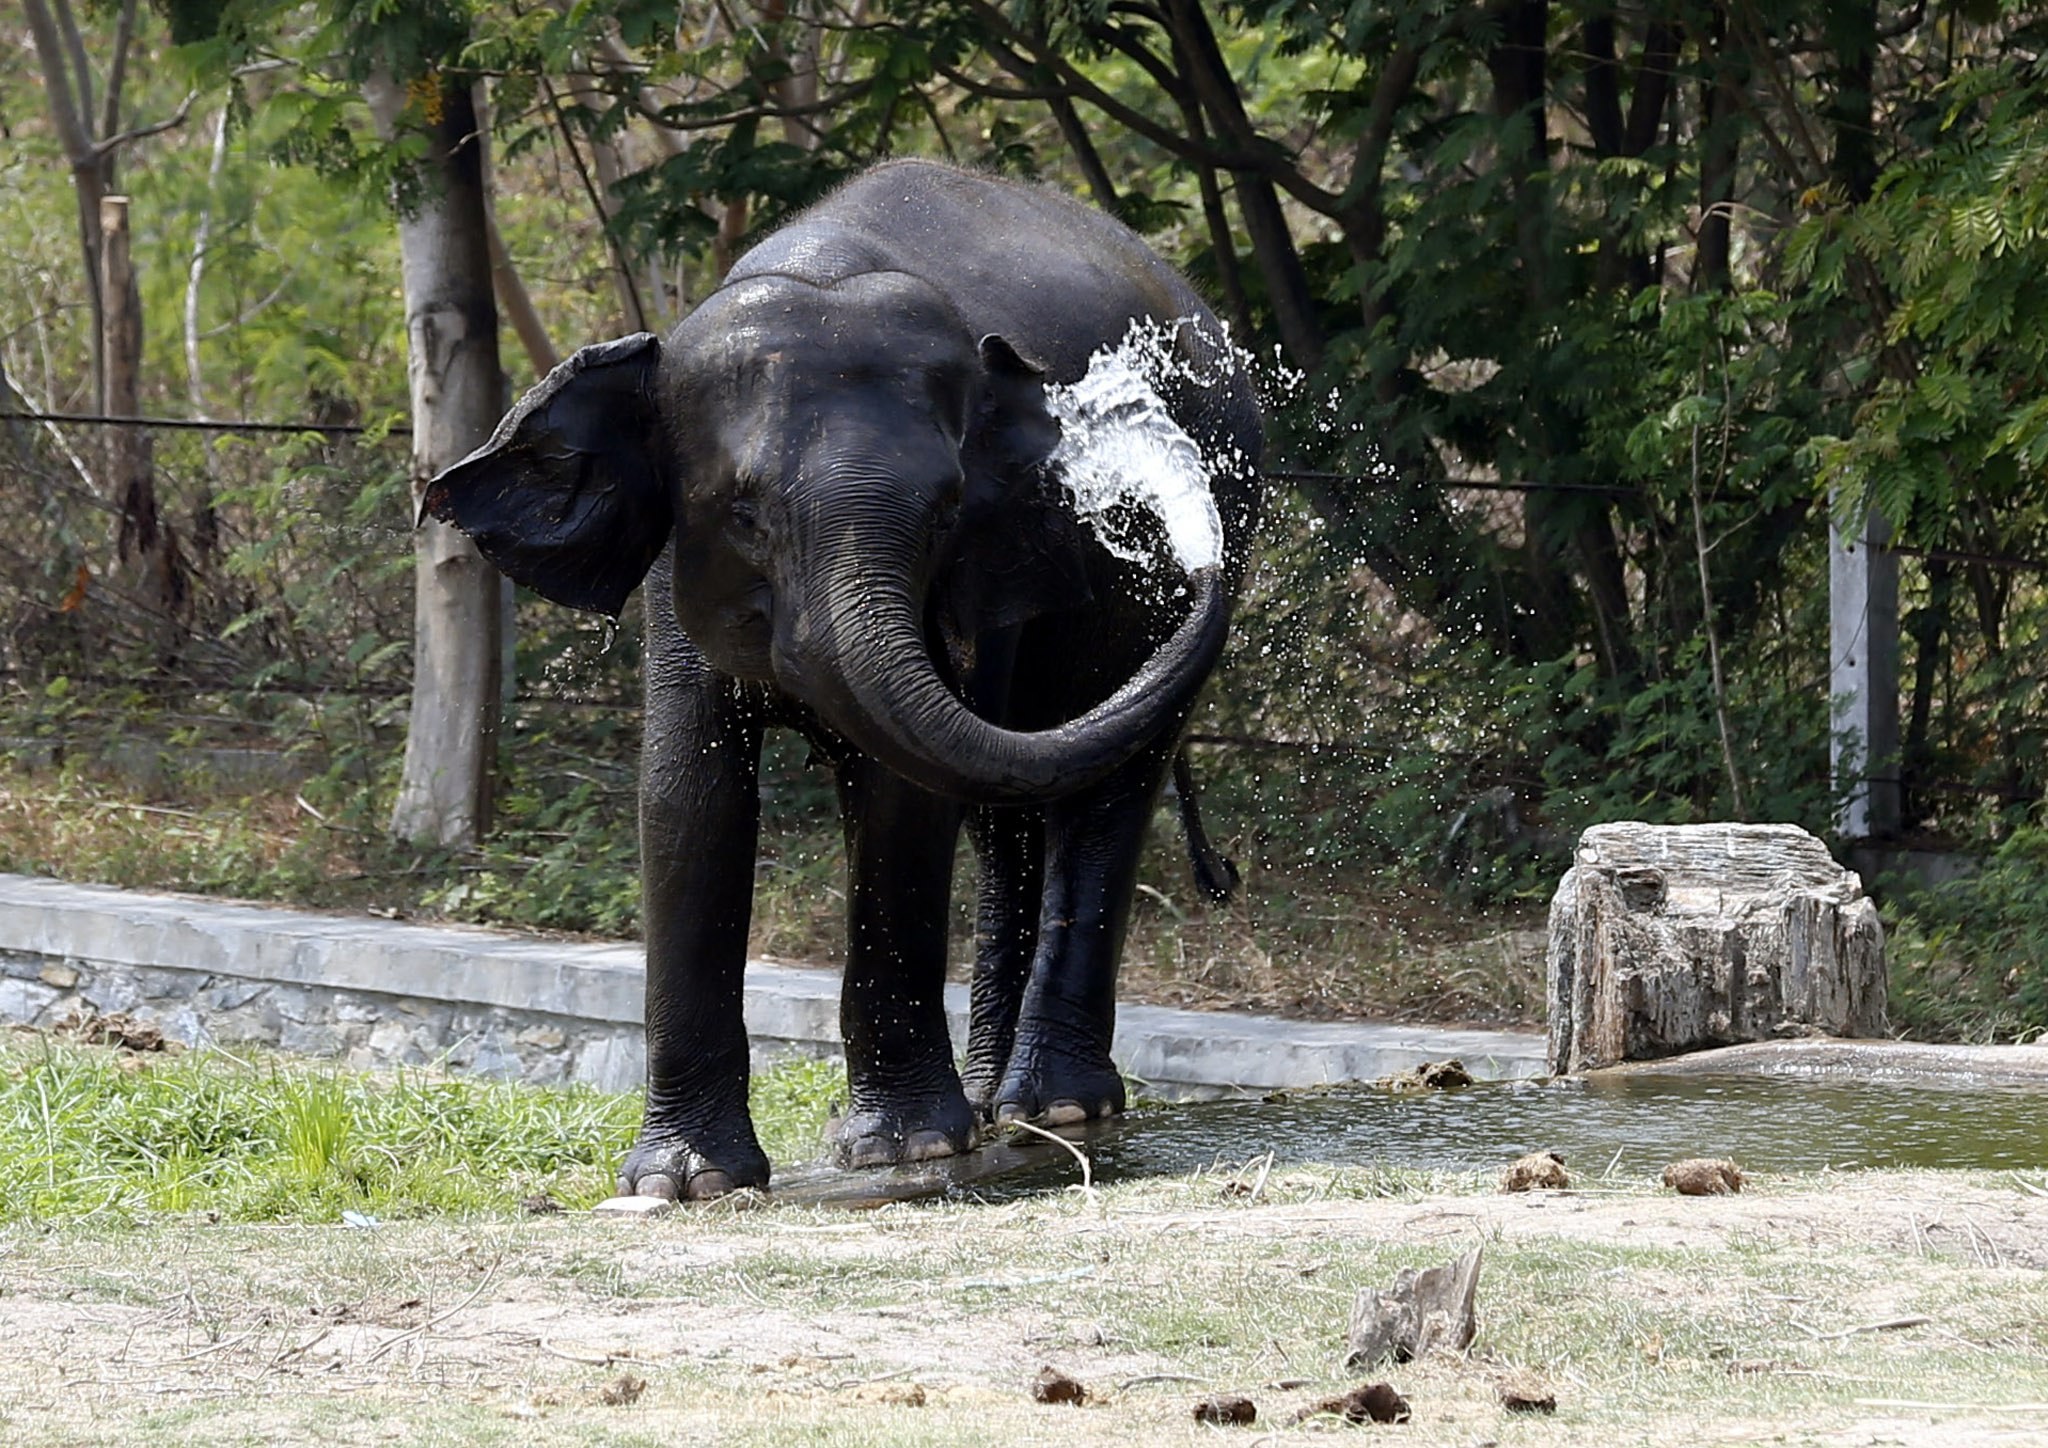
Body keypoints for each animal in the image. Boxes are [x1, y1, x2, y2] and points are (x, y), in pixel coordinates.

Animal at [422, 159, 1262, 1200]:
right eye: (742, 514)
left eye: (948, 510)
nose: (1190, 534)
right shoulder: (674, 574)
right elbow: (687, 796)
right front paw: (685, 1182)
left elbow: (902, 792)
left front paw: (907, 1149)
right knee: (1011, 810)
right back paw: (1000, 1102)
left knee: (1101, 794)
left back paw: (1057, 1109)